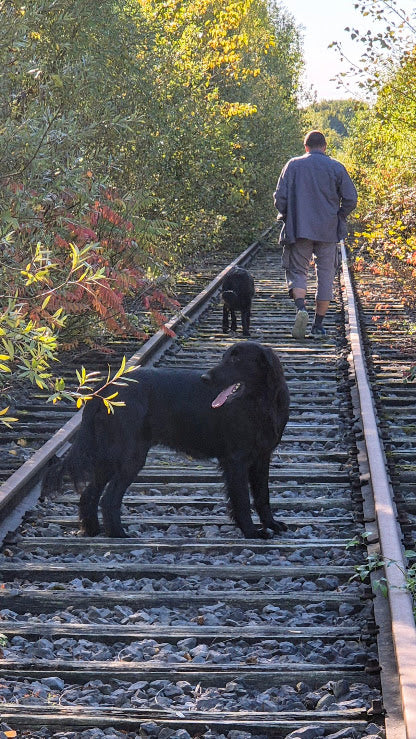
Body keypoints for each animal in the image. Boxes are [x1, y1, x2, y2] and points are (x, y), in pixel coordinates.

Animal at [42, 344, 290, 540]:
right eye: (225, 357)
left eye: (237, 359)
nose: (206, 378)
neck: (260, 404)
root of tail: (102, 391)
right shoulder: (236, 460)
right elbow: (242, 501)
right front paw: (252, 532)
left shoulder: (262, 457)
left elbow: (263, 496)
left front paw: (271, 524)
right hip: (129, 456)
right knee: (109, 498)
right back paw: (119, 534)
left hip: (109, 457)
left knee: (89, 495)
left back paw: (93, 530)